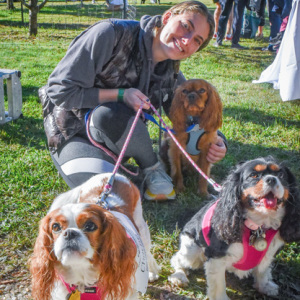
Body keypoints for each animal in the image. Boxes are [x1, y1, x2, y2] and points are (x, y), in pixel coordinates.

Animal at [30, 173, 161, 300]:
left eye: (90, 226)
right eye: (55, 227)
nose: (70, 233)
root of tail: (110, 175)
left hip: (142, 229)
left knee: (148, 253)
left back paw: (151, 272)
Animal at [169, 157, 300, 300]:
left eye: (281, 175)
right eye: (253, 175)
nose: (271, 179)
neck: (257, 226)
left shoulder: (267, 254)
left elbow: (263, 271)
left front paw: (265, 286)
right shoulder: (216, 257)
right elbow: (219, 285)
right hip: (191, 251)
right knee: (177, 259)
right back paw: (179, 276)